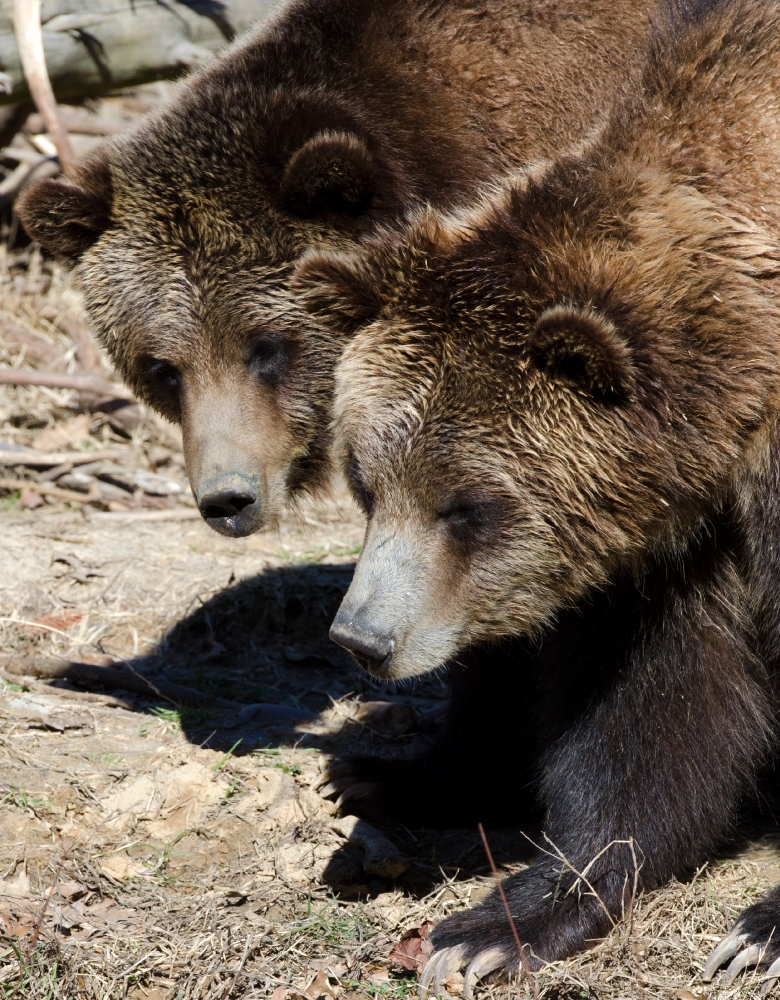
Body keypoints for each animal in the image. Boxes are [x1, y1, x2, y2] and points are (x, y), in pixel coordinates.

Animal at [298, 0, 780, 984]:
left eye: (467, 505)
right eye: (365, 478)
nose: (362, 638)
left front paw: (761, 929)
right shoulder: (669, 536)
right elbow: (649, 714)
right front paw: (500, 922)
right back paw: (381, 769)